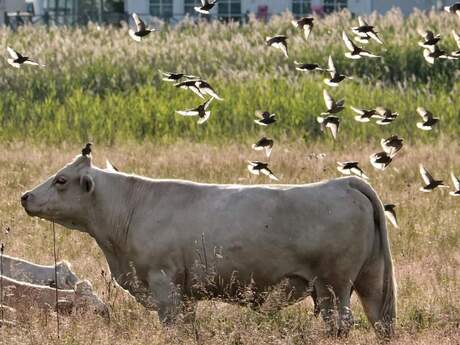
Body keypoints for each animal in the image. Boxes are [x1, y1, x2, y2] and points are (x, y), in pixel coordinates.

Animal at [20, 155, 396, 338]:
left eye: (61, 180)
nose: (25, 196)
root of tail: (343, 183)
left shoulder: (163, 283)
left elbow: (173, 327)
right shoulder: (185, 293)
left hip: (334, 284)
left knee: (341, 323)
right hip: (369, 279)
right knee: (379, 319)